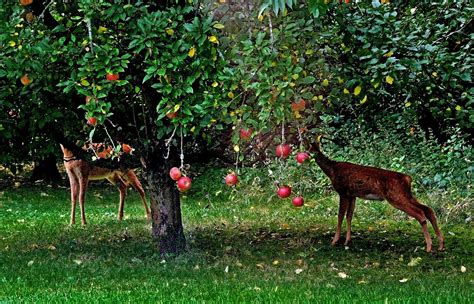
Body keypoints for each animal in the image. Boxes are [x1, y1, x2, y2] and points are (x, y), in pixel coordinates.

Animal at [312, 135, 444, 252]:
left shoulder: (343, 192)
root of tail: (407, 178)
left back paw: (429, 247)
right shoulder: (352, 195)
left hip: (396, 196)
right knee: (428, 210)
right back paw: (441, 244)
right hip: (407, 195)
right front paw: (347, 241)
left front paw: (335, 241)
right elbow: (349, 215)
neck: (332, 170)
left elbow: (340, 215)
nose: (309, 155)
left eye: (310, 145)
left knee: (420, 213)